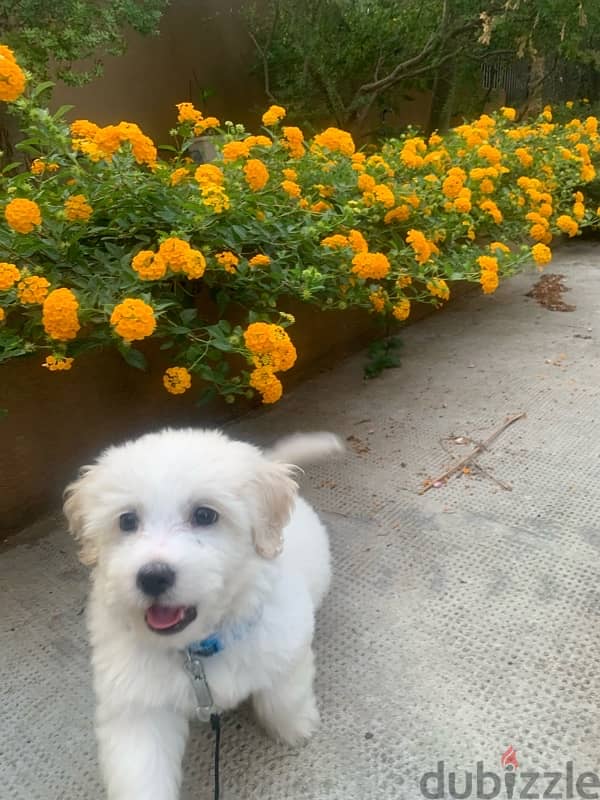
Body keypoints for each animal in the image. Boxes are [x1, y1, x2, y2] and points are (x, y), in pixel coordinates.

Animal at [64, 428, 342, 796]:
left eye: (205, 515)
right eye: (127, 521)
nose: (153, 576)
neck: (197, 651)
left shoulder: (285, 643)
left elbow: (283, 695)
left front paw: (296, 727)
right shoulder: (137, 708)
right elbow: (141, 772)